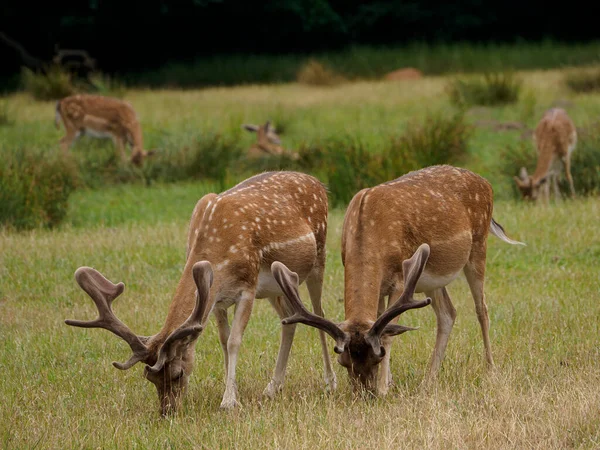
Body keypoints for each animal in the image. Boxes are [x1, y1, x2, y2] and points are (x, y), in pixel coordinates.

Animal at [67, 170, 338, 414]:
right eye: (150, 379)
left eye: (178, 373)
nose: (167, 410)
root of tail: (320, 184)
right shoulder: (216, 297)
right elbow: (223, 339)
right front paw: (233, 392)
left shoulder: (248, 287)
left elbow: (234, 341)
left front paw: (228, 402)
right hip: (277, 287)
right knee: (289, 320)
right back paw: (273, 387)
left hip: (319, 257)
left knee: (318, 312)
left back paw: (330, 382)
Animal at [270, 165, 524, 394]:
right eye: (343, 361)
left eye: (377, 356)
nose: (364, 392)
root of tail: (485, 182)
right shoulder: (378, 284)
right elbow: (383, 323)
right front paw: (389, 382)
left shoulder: (401, 280)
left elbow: (389, 334)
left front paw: (384, 387)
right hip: (432, 279)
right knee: (448, 313)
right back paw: (428, 381)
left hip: (478, 247)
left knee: (482, 310)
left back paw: (490, 371)